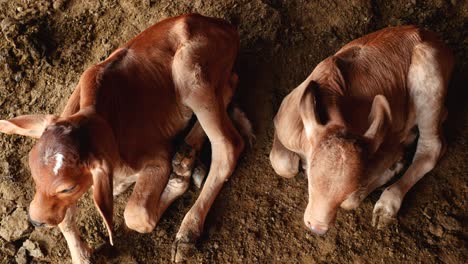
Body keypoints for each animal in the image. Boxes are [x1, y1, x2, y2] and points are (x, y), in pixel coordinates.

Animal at [0, 13, 252, 262]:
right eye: (33, 173)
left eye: (68, 188)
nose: (34, 221)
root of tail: (223, 26)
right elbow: (64, 216)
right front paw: (81, 254)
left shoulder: (157, 157)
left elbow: (137, 216)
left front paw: (176, 180)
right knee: (231, 83)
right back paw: (185, 155)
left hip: (190, 73)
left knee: (228, 145)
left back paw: (187, 230)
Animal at [270, 25, 454, 235]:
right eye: (311, 183)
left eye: (347, 191)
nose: (317, 227)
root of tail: (430, 36)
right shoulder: (282, 123)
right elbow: (283, 164)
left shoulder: (387, 144)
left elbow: (351, 201)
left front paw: (392, 169)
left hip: (429, 74)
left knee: (431, 148)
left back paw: (387, 204)